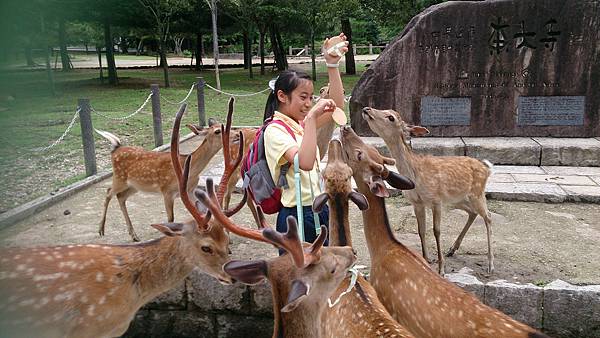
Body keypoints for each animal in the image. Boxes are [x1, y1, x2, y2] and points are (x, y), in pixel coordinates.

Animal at [95, 101, 231, 242]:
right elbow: (171, 218)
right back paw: (101, 230)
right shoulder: (167, 191)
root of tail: (115, 149)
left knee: (120, 197)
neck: (191, 170)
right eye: (217, 131)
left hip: (135, 186)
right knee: (108, 192)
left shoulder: (190, 190)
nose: (236, 135)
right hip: (119, 178)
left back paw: (134, 235)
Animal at [340, 125, 552, 338]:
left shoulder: (383, 299)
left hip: (472, 195)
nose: (346, 127)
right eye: (370, 149)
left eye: (359, 154)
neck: (385, 248)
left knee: (487, 216)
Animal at [358, 107, 494, 274]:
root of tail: (487, 168)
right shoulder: (417, 203)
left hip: (477, 193)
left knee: (488, 217)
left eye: (391, 117)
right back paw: (452, 249)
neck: (415, 175)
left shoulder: (436, 200)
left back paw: (490, 264)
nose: (366, 109)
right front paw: (426, 260)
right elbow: (421, 230)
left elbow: (436, 230)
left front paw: (441, 269)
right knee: (472, 213)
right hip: (457, 199)